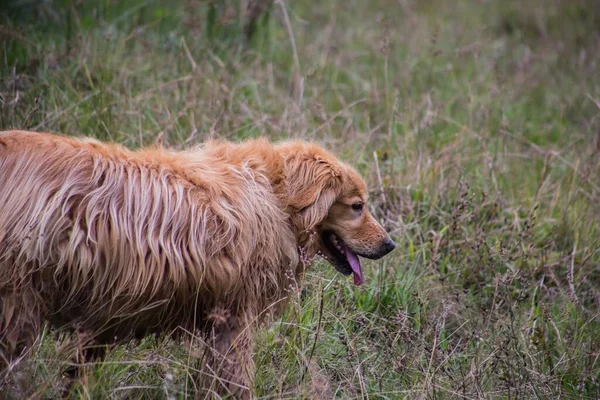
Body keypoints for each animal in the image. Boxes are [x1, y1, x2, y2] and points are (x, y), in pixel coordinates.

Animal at [0, 130, 396, 396]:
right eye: (357, 206)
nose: (390, 244)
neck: (275, 196)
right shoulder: (234, 322)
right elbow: (236, 383)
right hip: (18, 306)